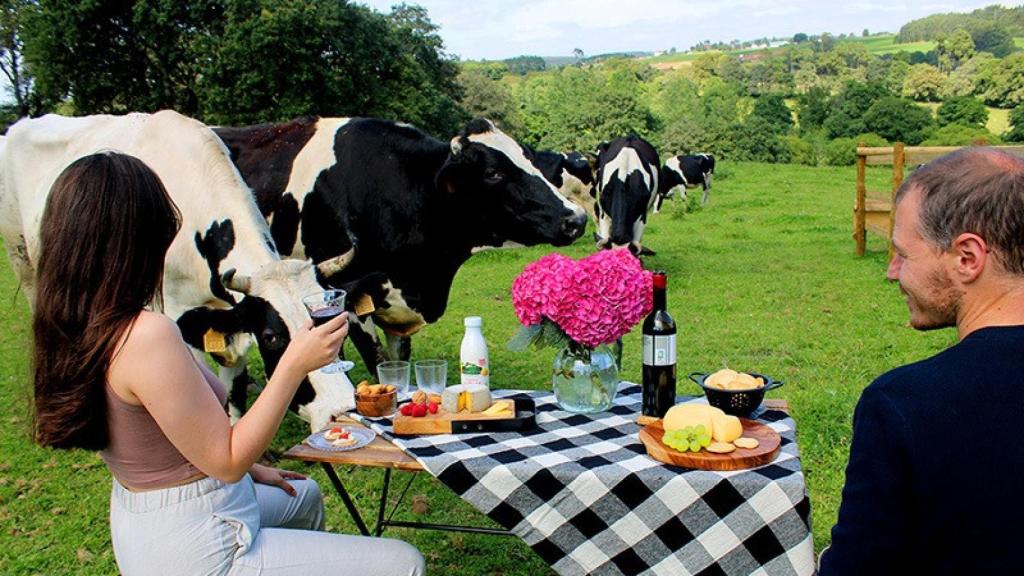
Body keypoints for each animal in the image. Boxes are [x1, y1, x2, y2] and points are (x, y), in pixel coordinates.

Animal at [0, 109, 360, 428]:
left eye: (339, 327)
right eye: (272, 337)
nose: (341, 408)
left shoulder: (230, 319)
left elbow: (233, 385)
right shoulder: (174, 318)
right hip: (24, 262)